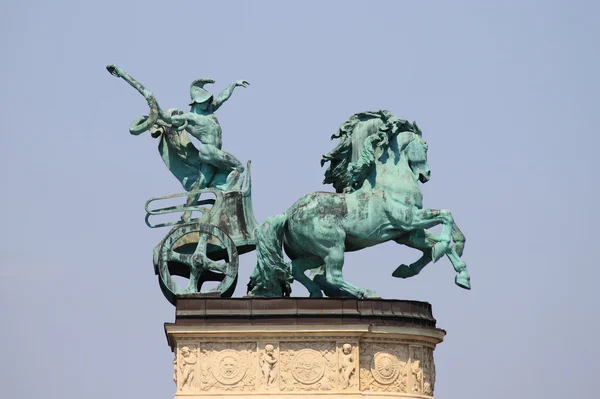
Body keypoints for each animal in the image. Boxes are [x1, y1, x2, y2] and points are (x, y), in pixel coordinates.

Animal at [246, 111, 472, 298]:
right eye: (425, 146)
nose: (427, 174)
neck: (391, 180)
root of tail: (287, 214)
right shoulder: (408, 219)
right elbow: (445, 216)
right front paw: (442, 251)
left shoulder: (406, 234)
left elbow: (433, 243)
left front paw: (460, 276)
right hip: (334, 246)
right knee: (332, 276)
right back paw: (366, 292)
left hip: (314, 254)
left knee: (296, 269)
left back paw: (316, 292)